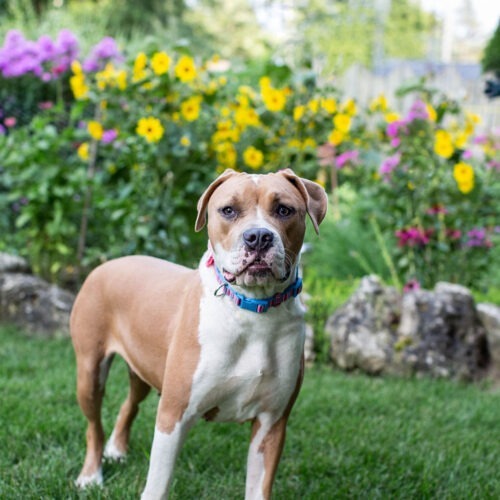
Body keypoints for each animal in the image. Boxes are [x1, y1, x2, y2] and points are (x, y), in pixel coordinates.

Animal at [70, 169, 328, 500]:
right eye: (228, 210)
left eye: (284, 210)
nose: (258, 237)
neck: (252, 311)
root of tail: (108, 264)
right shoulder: (174, 414)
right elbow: (157, 485)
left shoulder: (271, 423)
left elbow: (258, 488)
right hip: (90, 372)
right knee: (93, 425)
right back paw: (91, 475)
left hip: (143, 369)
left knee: (130, 403)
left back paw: (116, 449)